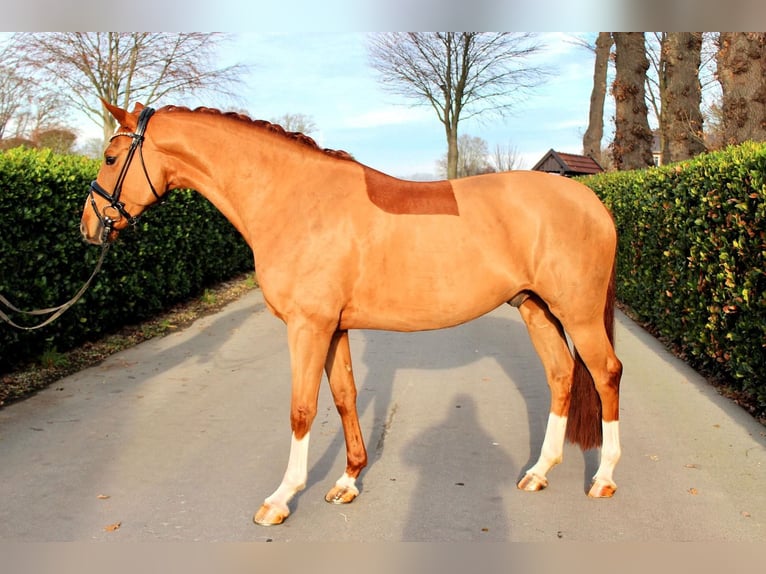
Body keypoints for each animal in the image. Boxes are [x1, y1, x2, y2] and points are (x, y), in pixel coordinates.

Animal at [80, 101, 623, 526]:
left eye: (110, 157)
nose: (89, 225)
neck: (294, 201)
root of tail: (590, 199)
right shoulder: (334, 328)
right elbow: (344, 397)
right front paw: (348, 480)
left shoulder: (307, 327)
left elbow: (302, 409)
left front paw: (281, 498)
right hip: (535, 307)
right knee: (562, 373)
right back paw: (539, 472)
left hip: (577, 315)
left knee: (605, 373)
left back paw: (603, 478)